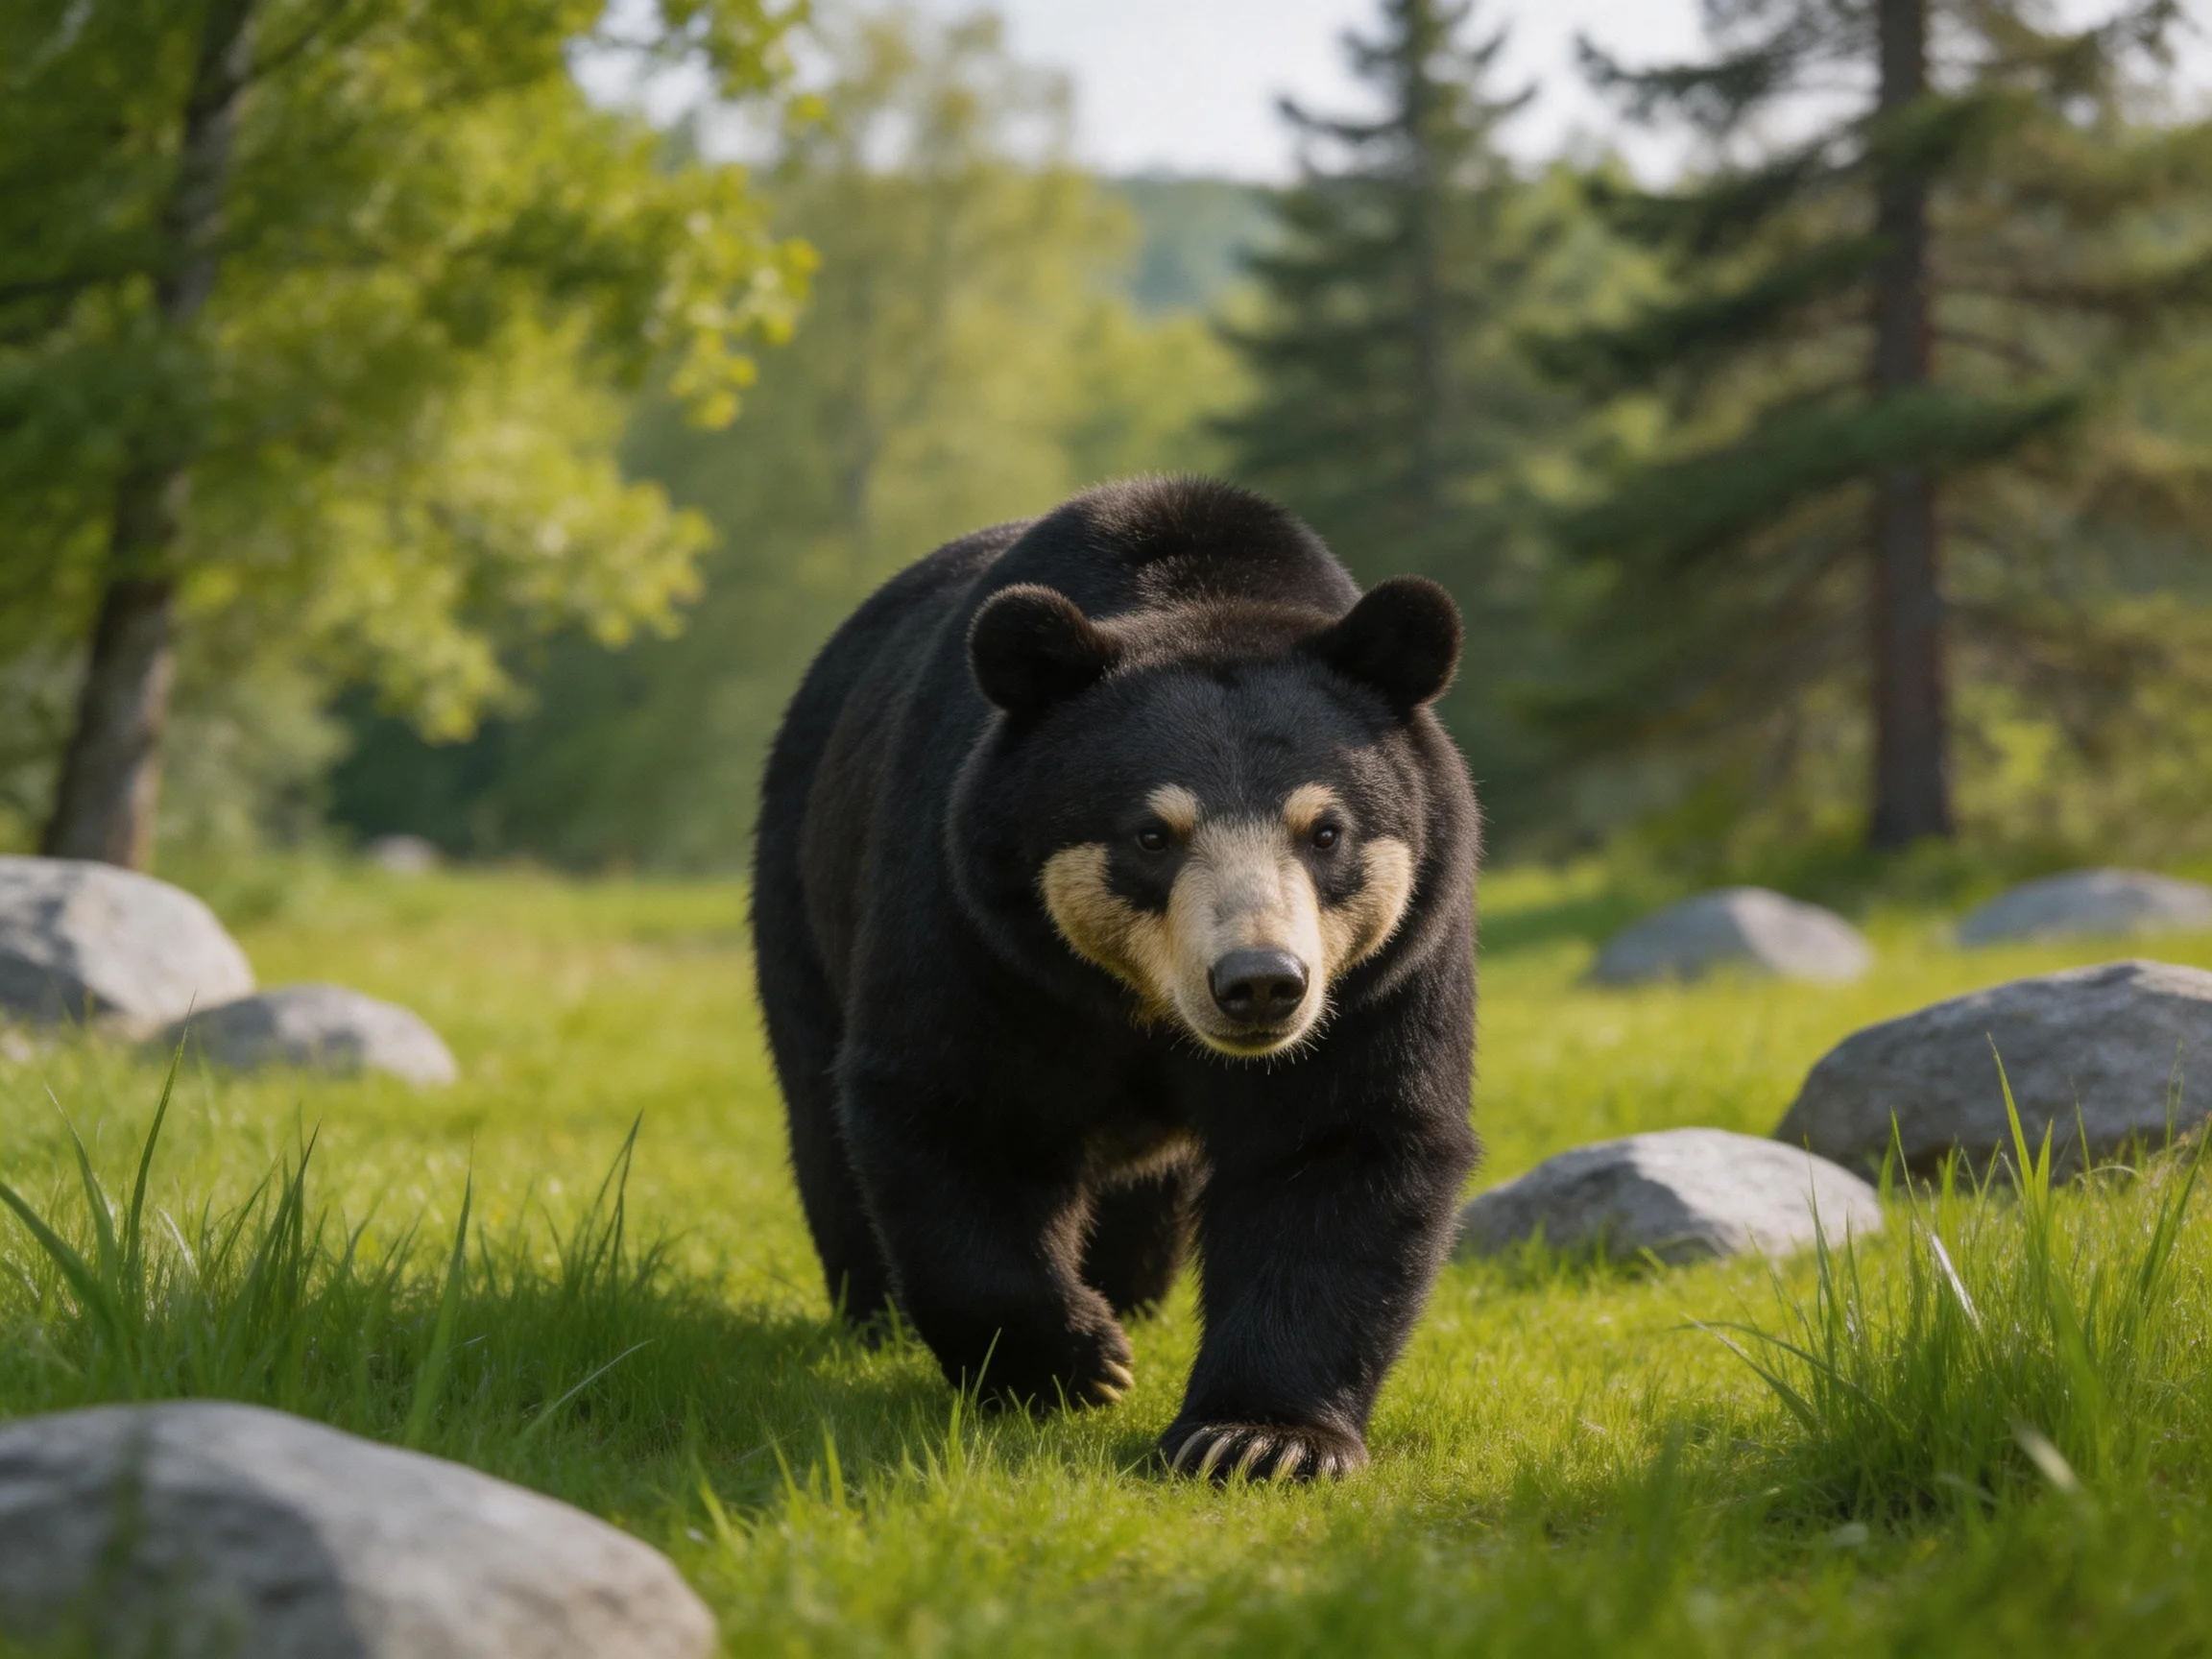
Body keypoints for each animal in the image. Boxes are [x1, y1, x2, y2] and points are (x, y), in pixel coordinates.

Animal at [752, 476, 1478, 1482]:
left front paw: (1257, 1440)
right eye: (1151, 834)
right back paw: (880, 1314)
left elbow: (1343, 1141)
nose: (1261, 984)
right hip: (801, 873)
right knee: (821, 1109)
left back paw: (1131, 1290)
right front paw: (1076, 1364)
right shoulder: (974, 917)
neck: (1141, 1001)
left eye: (1324, 830)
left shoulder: (1384, 968)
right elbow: (958, 1101)